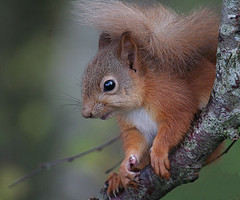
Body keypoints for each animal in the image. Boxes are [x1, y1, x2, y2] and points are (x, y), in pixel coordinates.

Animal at [78, 0, 219, 196]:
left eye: (109, 85)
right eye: (84, 78)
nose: (86, 113)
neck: (139, 104)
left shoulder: (174, 101)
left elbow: (174, 126)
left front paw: (159, 152)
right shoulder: (134, 126)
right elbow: (135, 142)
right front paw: (124, 167)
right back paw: (116, 179)